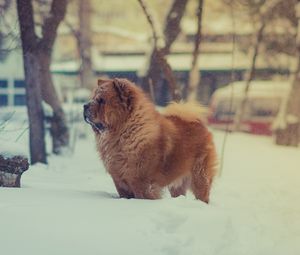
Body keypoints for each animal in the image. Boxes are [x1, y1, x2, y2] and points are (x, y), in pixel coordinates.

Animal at [83, 77, 217, 203]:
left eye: (102, 100)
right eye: (93, 98)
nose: (85, 105)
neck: (122, 134)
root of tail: (200, 124)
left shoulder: (142, 183)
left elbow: (142, 196)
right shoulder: (119, 181)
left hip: (200, 176)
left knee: (203, 194)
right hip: (178, 183)